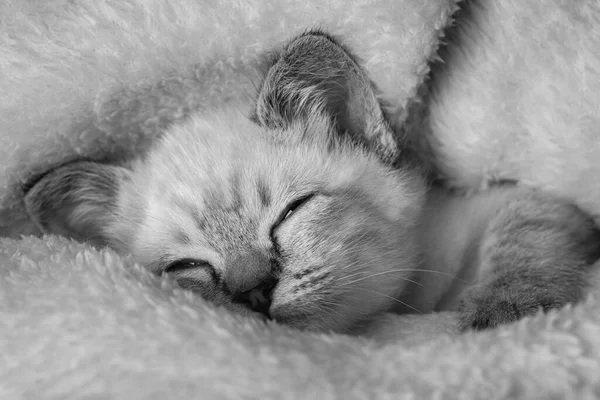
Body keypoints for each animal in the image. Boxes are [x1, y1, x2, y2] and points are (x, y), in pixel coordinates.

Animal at [22, 30, 600, 332]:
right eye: (185, 267)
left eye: (289, 214)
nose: (252, 290)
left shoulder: (512, 198)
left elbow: (523, 234)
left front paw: (507, 310)